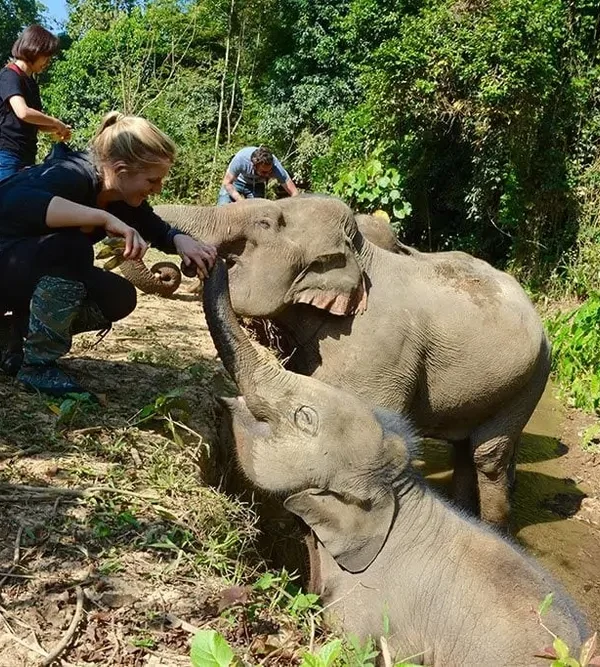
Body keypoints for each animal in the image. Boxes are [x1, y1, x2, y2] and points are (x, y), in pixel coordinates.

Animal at [154, 195, 550, 527]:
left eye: (265, 223)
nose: (200, 260)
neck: (362, 254)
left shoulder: (380, 353)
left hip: (532, 381)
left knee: (487, 455)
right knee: (464, 451)